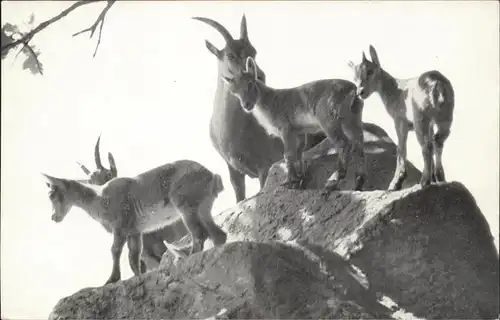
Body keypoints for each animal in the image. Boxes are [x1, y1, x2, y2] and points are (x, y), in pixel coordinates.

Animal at [223, 57, 368, 192]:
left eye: (250, 83)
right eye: (233, 91)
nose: (246, 105)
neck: (270, 101)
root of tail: (353, 90)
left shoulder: (285, 128)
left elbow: (288, 155)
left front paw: (288, 181)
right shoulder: (299, 131)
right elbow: (299, 152)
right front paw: (299, 180)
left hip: (329, 121)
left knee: (343, 144)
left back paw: (334, 181)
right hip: (352, 119)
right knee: (358, 143)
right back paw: (359, 181)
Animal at [350, 45, 456, 190]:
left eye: (370, 71)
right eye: (355, 77)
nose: (360, 92)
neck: (394, 89)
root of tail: (437, 86)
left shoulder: (400, 120)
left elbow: (400, 149)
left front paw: (395, 183)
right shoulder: (429, 124)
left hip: (420, 117)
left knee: (426, 146)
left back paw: (424, 181)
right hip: (445, 116)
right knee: (438, 141)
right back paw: (440, 178)